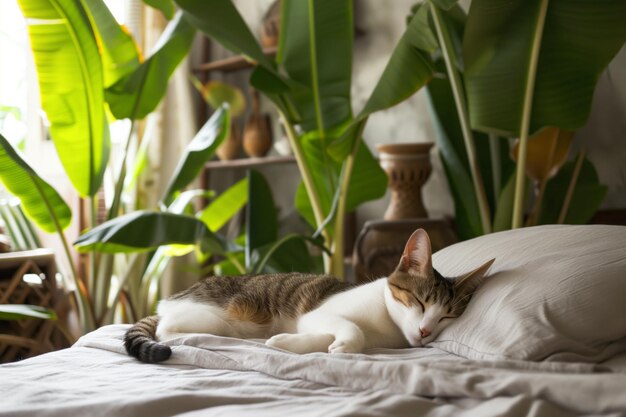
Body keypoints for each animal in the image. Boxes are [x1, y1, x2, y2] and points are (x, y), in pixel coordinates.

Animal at [123, 229, 492, 362]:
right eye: (419, 301)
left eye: (447, 316)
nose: (426, 331)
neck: (386, 328)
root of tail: (171, 300)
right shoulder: (318, 314)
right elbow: (351, 329)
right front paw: (345, 344)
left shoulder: (313, 324)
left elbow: (315, 338)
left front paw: (285, 342)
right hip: (210, 316)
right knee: (168, 329)